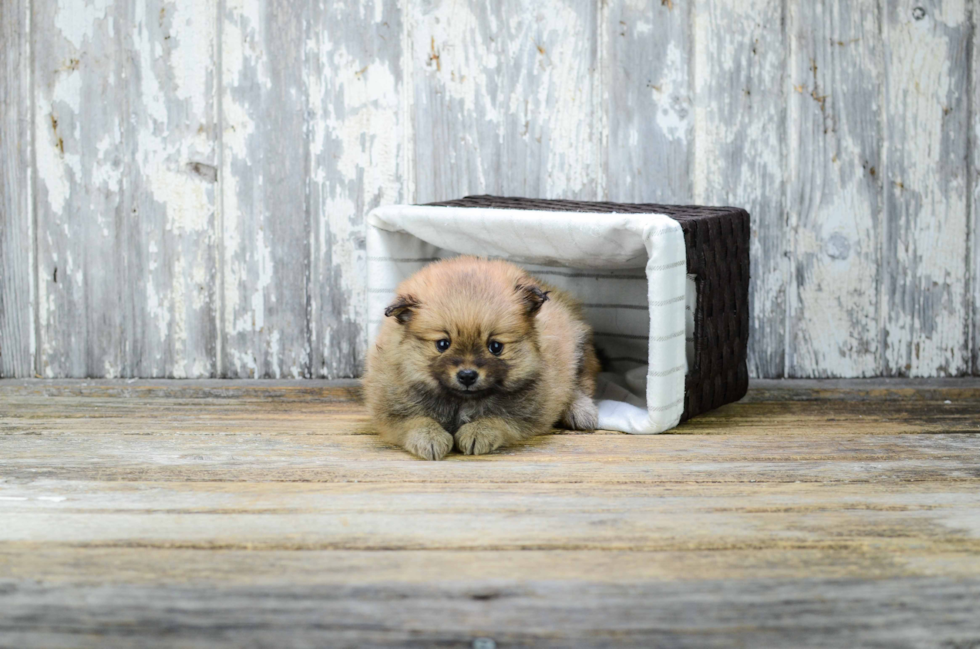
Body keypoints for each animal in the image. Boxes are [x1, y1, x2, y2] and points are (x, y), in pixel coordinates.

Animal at [364, 256, 600, 458]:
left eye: (495, 347)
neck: (461, 401)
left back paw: (580, 411)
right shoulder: (390, 410)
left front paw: (478, 432)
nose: (467, 376)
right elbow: (415, 421)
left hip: (578, 348)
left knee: (580, 383)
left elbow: (499, 419)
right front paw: (430, 438)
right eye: (443, 344)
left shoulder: (529, 412)